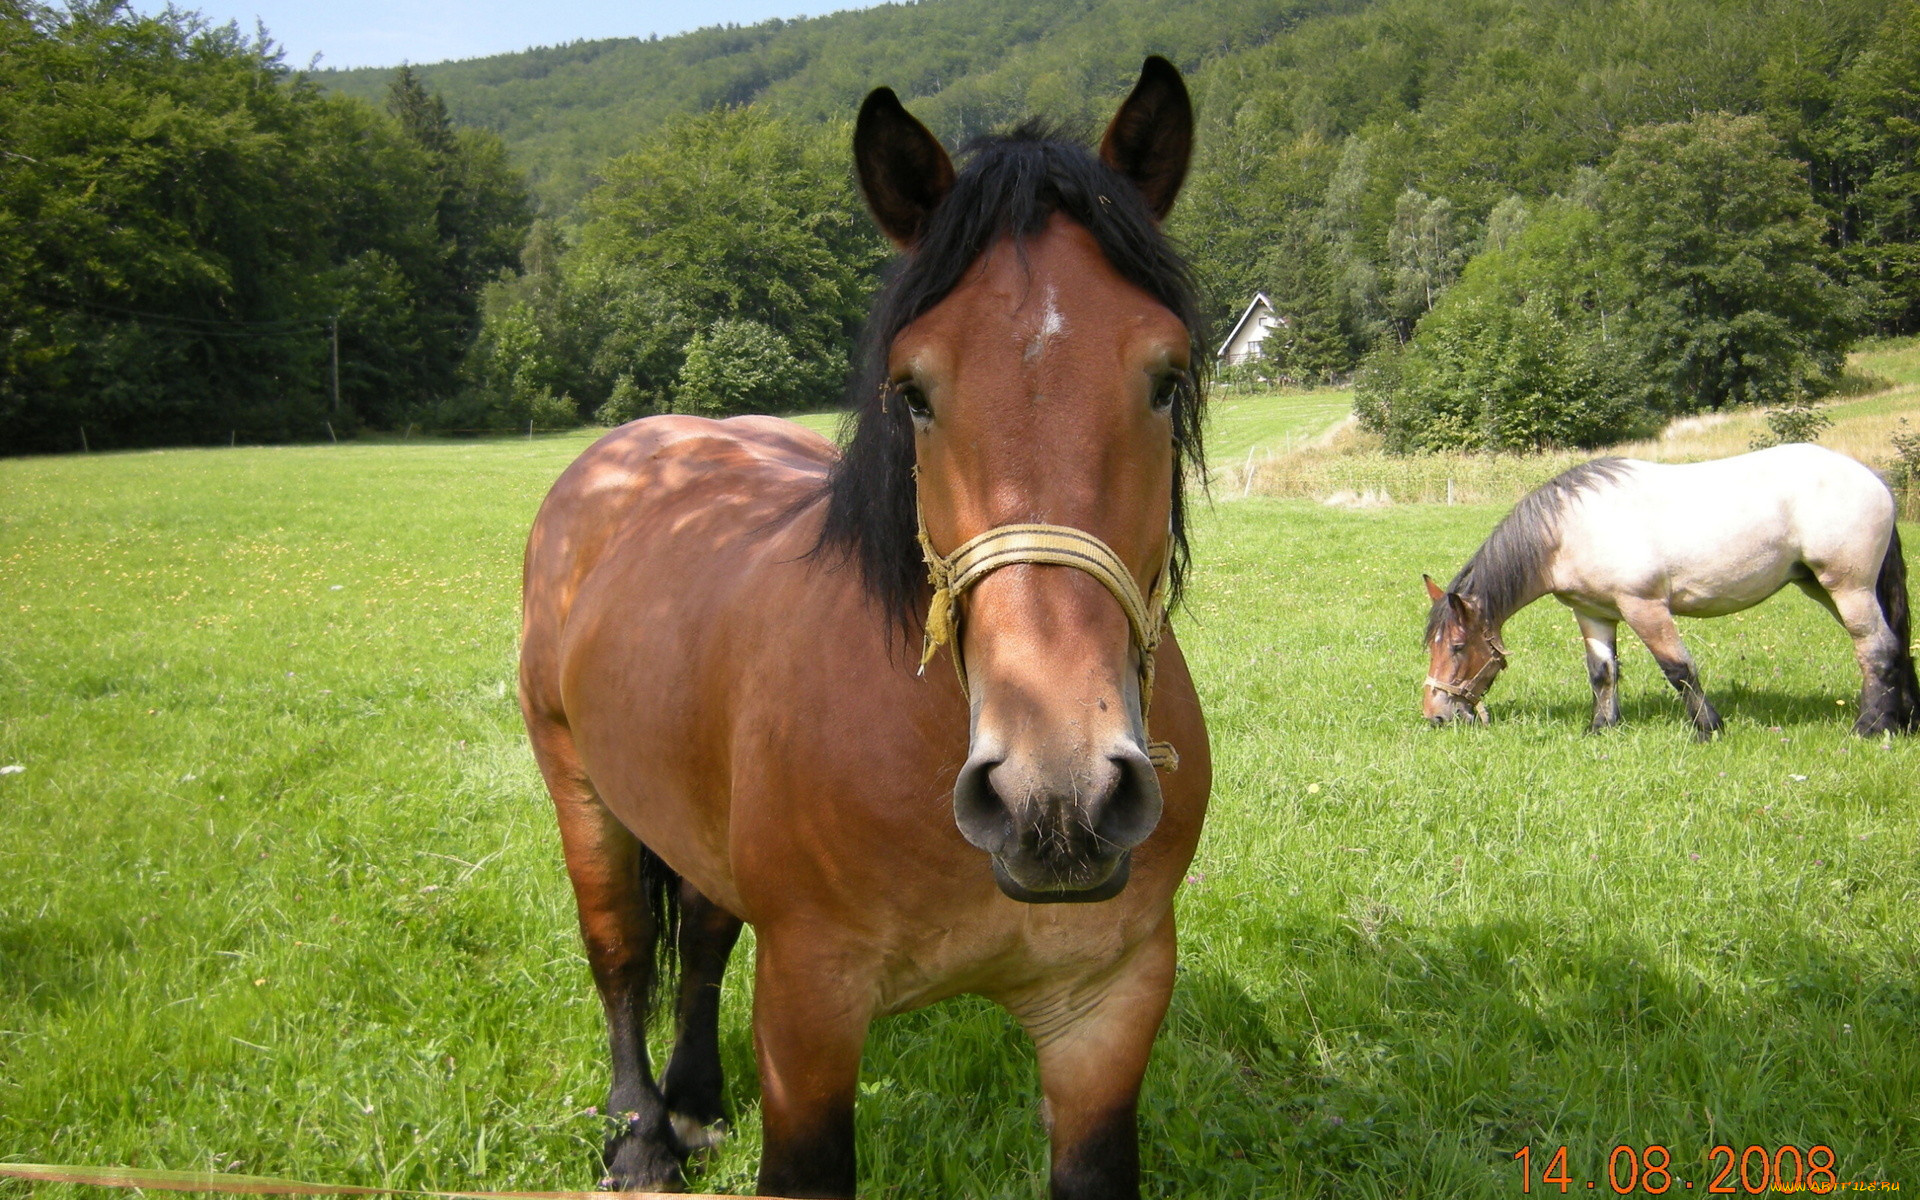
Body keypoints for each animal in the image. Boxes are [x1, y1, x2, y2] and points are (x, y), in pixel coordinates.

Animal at [518, 58, 1213, 1198]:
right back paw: (642, 1135)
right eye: (914, 390)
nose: (1055, 793)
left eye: (1165, 376)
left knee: (701, 937)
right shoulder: (810, 1010)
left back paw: (696, 1101)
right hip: (579, 787)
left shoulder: (1108, 1007)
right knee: (618, 953)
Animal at [1420, 445, 1912, 733]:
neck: (1567, 531)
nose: (1435, 714)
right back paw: (1905, 722)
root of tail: (1873, 477)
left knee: (1876, 649)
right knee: (1897, 646)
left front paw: (1709, 727)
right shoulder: (1593, 612)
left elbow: (1678, 668)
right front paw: (1601, 728)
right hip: (1826, 589)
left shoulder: (1644, 606)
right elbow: (1602, 672)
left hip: (1848, 588)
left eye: (1458, 647)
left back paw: (1870, 727)